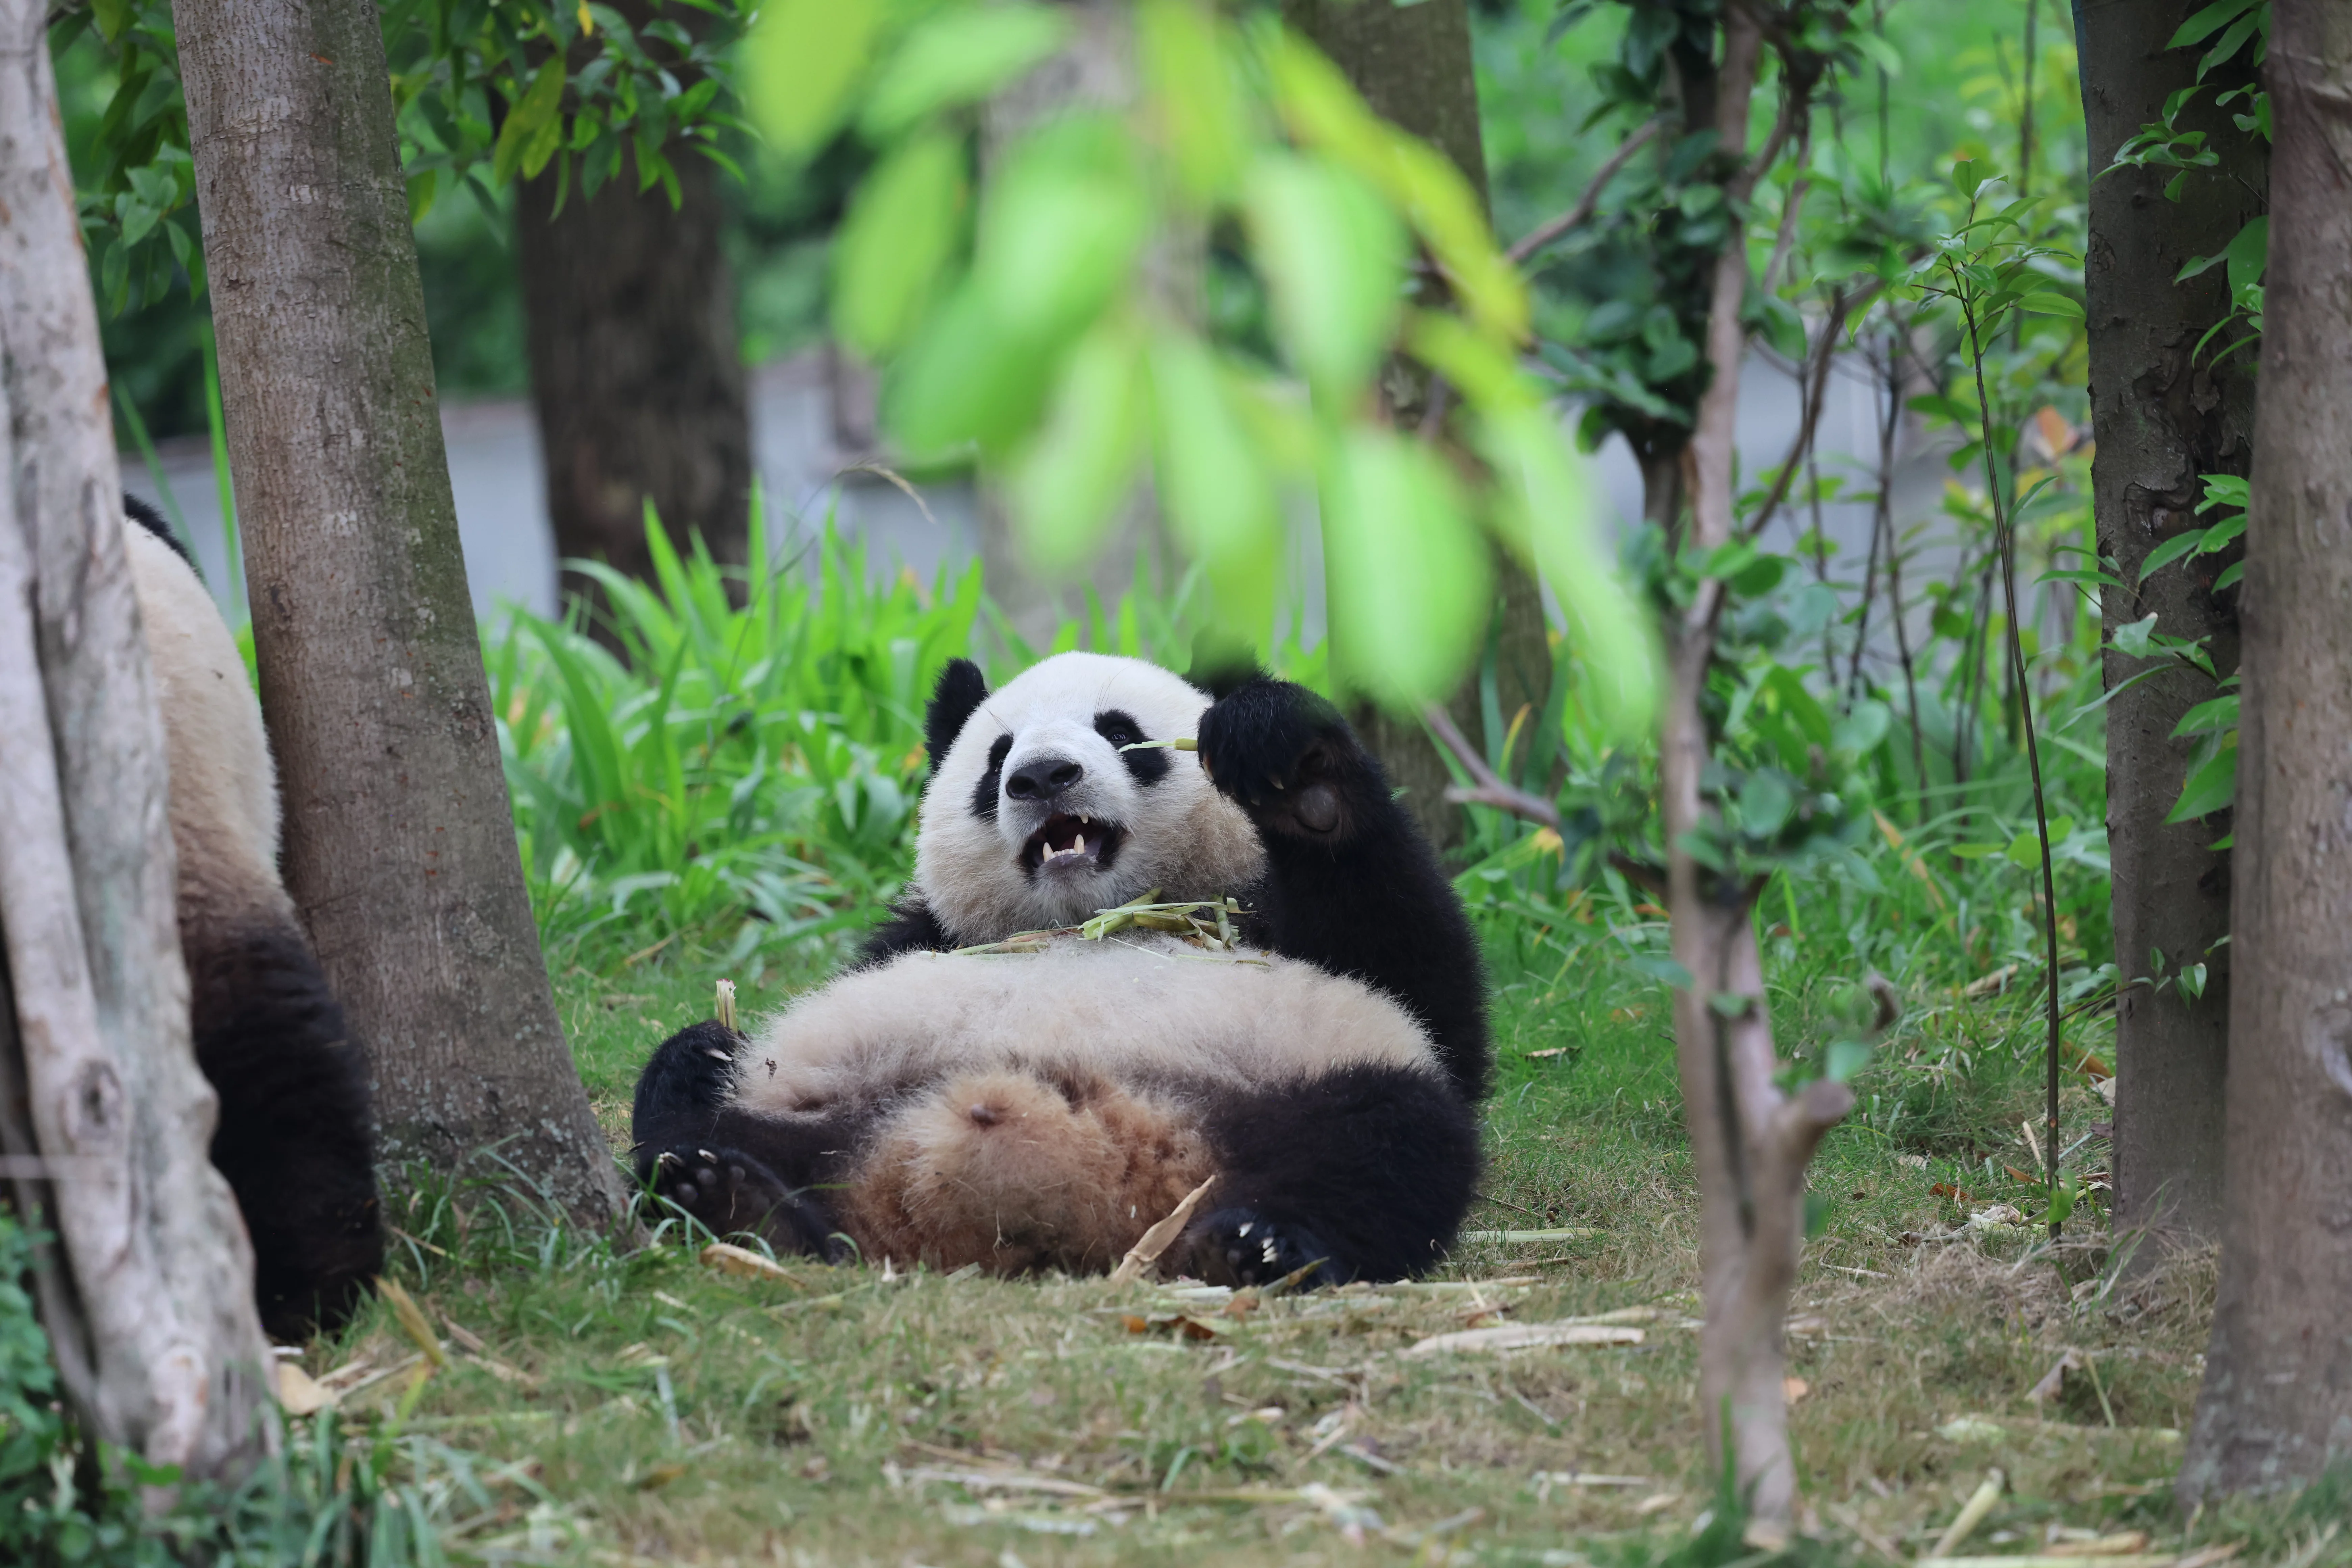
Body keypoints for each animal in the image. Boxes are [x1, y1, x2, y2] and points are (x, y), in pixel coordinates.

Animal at [631, 650, 1489, 1284]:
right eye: (997, 756)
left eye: (1122, 732)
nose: (1043, 776)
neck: (1095, 914)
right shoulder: (924, 934)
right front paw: (705, 1052)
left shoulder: (1276, 918)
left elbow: (1426, 989)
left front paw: (1297, 774)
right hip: (831, 1104)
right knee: (694, 1117)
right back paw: (734, 1198)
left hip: (1305, 1078)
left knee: (1388, 1142)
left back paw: (1262, 1247)